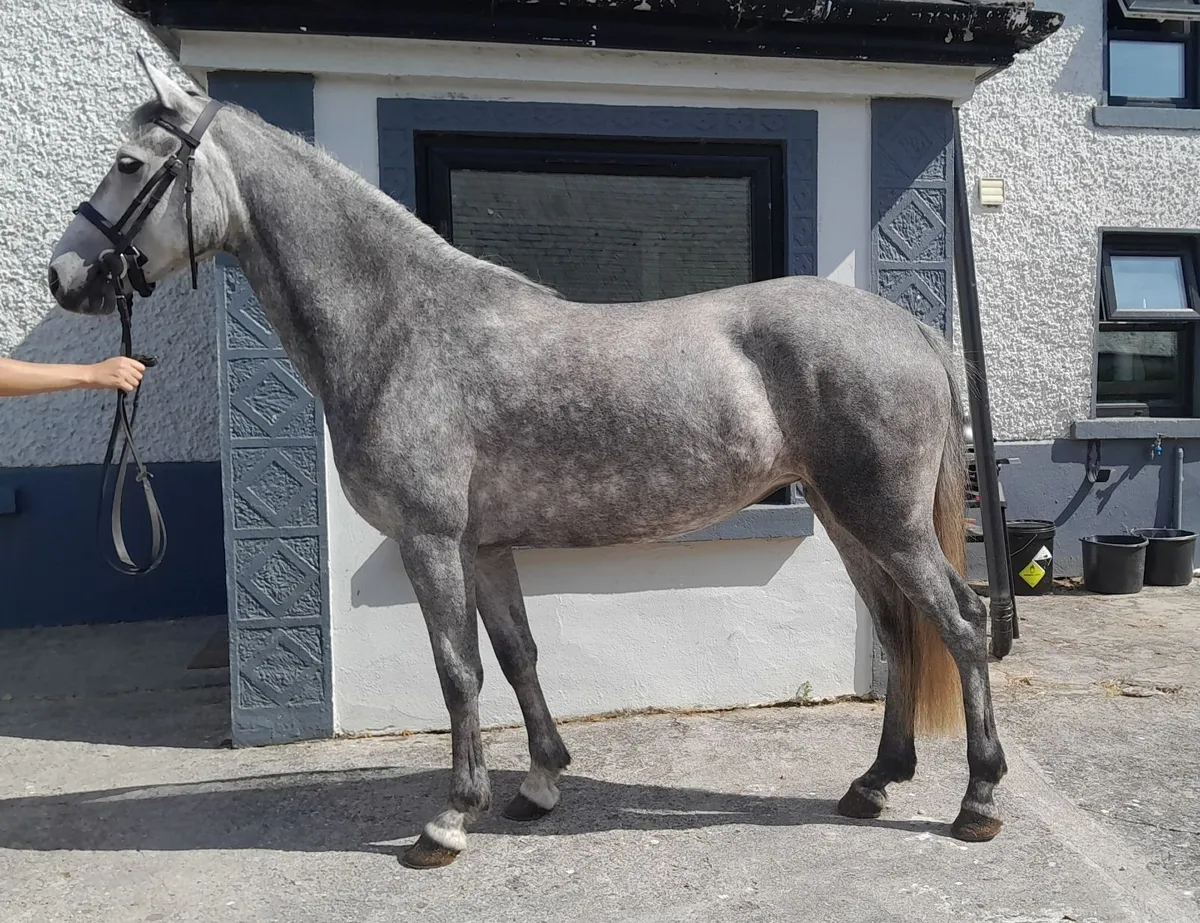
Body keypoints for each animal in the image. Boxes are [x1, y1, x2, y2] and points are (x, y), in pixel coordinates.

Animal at [47, 57, 1006, 869]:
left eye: (129, 164)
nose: (64, 275)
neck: (402, 328)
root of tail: (912, 330)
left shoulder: (431, 541)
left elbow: (457, 670)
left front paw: (448, 817)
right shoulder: (485, 545)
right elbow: (517, 656)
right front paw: (539, 783)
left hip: (883, 519)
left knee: (960, 623)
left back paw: (979, 800)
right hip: (849, 520)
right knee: (899, 628)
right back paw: (873, 782)